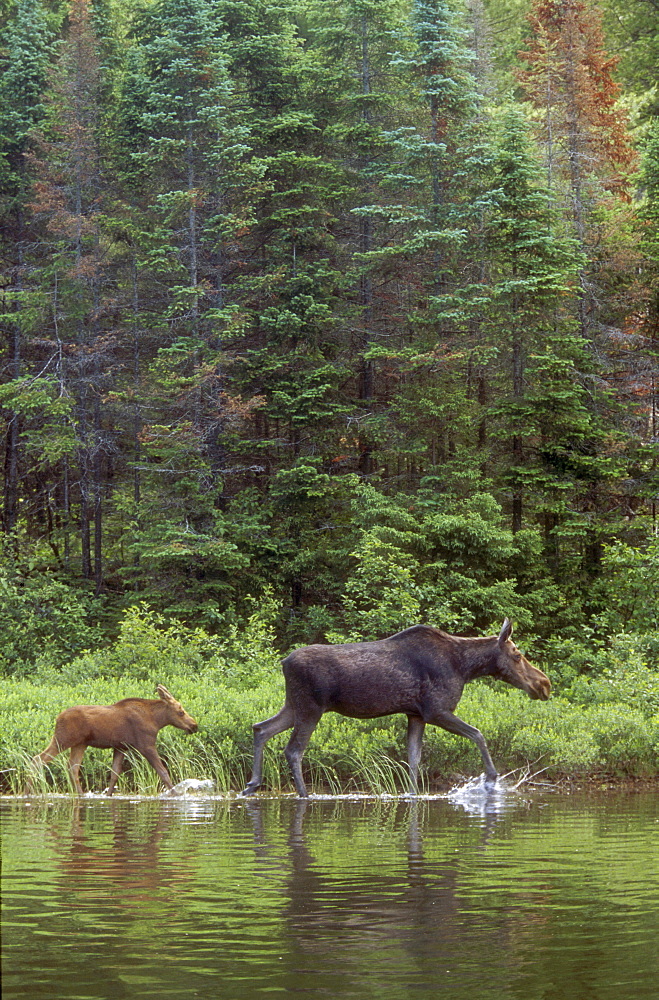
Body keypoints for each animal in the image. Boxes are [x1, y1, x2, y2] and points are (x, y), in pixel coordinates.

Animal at [31, 684, 196, 792]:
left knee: (72, 767)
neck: (156, 720)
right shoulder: (146, 745)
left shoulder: (120, 747)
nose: (194, 725)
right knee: (38, 759)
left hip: (80, 744)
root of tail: (57, 718)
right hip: (63, 739)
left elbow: (114, 774)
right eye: (181, 712)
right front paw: (175, 793)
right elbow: (163, 772)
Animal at [242, 616, 552, 796]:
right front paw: (490, 779)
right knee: (293, 749)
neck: (465, 668)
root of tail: (283, 662)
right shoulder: (436, 710)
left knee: (261, 728)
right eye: (517, 655)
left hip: (294, 705)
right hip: (310, 708)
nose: (544, 684)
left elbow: (413, 759)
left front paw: (412, 794)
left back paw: (252, 784)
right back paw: (304, 795)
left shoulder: (415, 714)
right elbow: (477, 734)